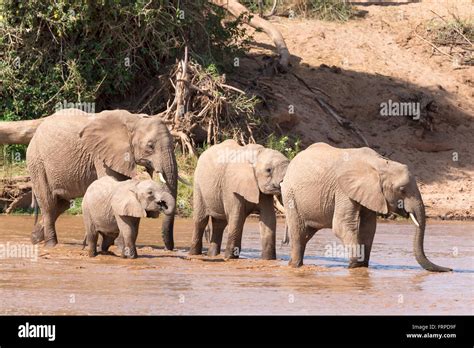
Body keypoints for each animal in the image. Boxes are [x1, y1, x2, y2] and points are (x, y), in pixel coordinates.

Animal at [28, 107, 180, 249]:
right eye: (150, 146)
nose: (169, 248)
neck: (134, 119)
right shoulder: (101, 154)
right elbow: (110, 181)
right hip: (37, 163)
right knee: (49, 204)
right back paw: (51, 244)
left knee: (61, 204)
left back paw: (35, 238)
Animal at [282, 142, 452, 272]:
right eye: (402, 190)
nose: (450, 269)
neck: (379, 164)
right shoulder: (343, 189)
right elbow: (342, 225)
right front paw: (355, 266)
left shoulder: (372, 193)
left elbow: (368, 227)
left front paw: (361, 266)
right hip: (290, 195)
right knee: (298, 232)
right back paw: (295, 266)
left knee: (306, 234)